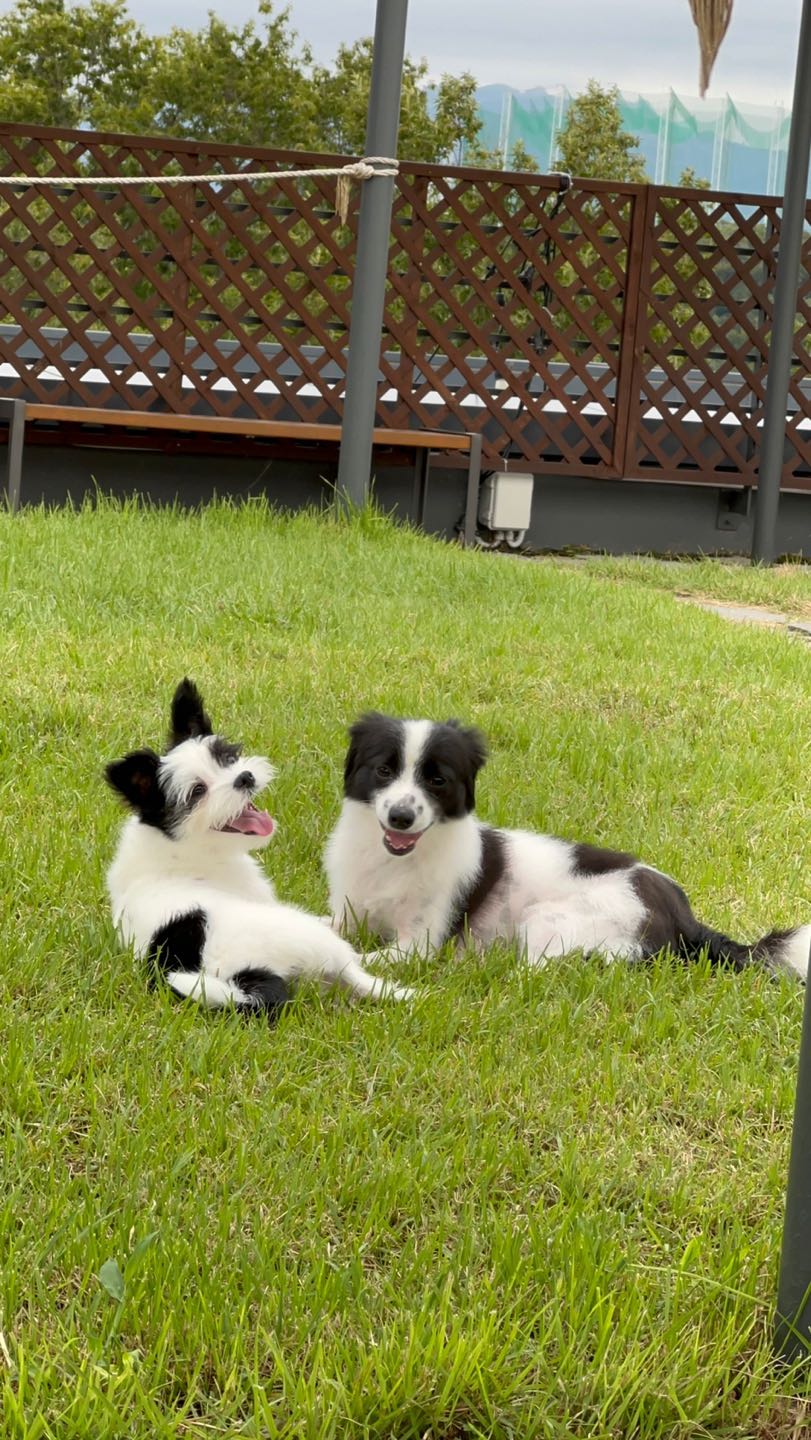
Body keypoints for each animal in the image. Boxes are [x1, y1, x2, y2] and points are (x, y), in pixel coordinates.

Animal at [103, 679, 411, 1019]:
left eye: (225, 757)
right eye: (198, 791)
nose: (244, 777)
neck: (178, 845)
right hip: (308, 935)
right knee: (358, 974)